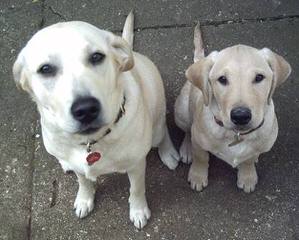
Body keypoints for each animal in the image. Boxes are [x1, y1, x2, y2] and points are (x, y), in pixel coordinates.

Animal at [12, 11, 179, 229]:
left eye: (97, 57)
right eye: (45, 69)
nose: (85, 109)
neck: (91, 143)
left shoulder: (136, 165)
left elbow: (136, 189)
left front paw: (139, 210)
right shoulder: (80, 168)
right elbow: (84, 182)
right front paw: (84, 199)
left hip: (157, 124)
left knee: (163, 132)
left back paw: (168, 153)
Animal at [175, 23, 292, 193]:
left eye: (259, 77)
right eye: (222, 79)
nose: (241, 116)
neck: (236, 135)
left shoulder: (255, 147)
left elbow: (249, 159)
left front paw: (247, 176)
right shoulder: (199, 141)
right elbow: (201, 157)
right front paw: (197, 176)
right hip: (181, 112)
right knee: (188, 130)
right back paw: (187, 148)